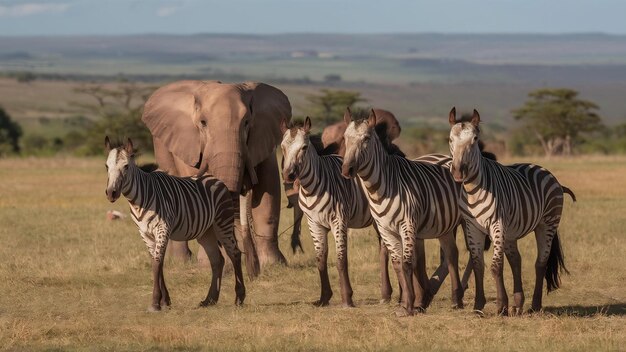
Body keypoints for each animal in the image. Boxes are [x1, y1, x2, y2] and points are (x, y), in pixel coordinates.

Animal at [105, 137, 244, 310]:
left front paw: (155, 303)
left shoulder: (162, 228)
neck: (139, 201)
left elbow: (157, 263)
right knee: (217, 260)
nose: (111, 193)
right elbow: (156, 262)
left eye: (126, 166)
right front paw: (165, 301)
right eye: (106, 166)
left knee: (235, 253)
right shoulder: (144, 233)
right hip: (206, 232)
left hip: (223, 222)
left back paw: (239, 298)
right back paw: (209, 300)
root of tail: (215, 179)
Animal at [141, 80, 290, 276]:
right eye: (203, 123)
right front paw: (211, 266)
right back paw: (183, 261)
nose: (253, 271)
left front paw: (273, 265)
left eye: (247, 122)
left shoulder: (263, 138)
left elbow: (267, 191)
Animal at [336, 109, 464, 316]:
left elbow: (407, 264)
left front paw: (409, 305)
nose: (347, 170)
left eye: (366, 138)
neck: (383, 187)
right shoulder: (385, 229)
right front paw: (405, 303)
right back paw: (456, 300)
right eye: (345, 139)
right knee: (452, 255)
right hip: (445, 226)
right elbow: (397, 265)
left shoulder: (407, 225)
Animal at [446, 108, 572, 316]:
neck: (473, 190)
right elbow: (478, 265)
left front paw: (501, 306)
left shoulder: (497, 224)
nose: (458, 172)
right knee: (516, 260)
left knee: (540, 262)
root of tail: (543, 170)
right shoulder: (472, 227)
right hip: (511, 231)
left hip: (547, 223)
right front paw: (479, 305)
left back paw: (535, 305)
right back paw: (518, 303)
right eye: (450, 139)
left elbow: (496, 266)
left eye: (475, 139)